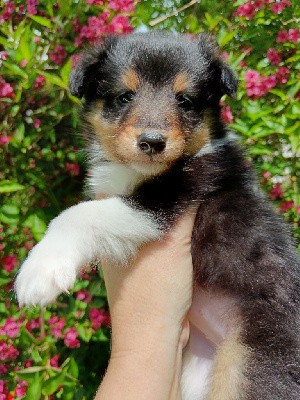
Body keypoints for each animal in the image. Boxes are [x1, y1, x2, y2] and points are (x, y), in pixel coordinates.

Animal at [15, 32, 300, 400]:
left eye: (186, 100)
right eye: (124, 96)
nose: (152, 142)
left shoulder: (167, 198)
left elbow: (78, 214)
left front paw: (40, 271)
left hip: (252, 361)